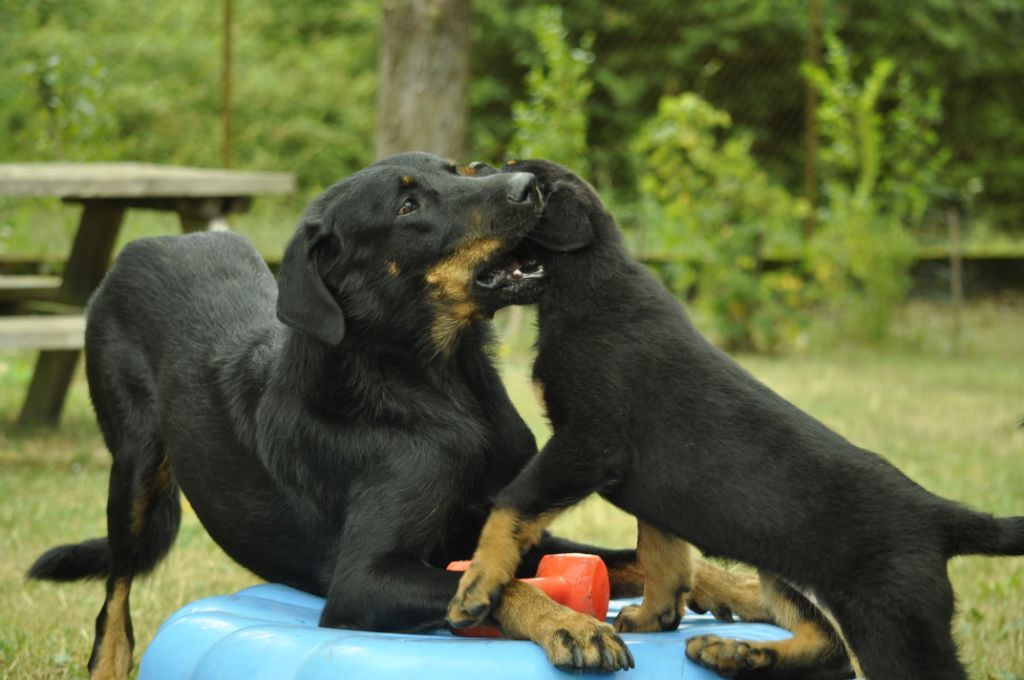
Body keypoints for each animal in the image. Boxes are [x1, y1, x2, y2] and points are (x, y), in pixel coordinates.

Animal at [448, 160, 1024, 680]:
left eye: (514, 171)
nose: (473, 164)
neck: (590, 283)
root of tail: (936, 514)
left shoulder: (587, 441)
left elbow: (511, 504)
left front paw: (476, 585)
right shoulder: (652, 487)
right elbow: (660, 550)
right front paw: (656, 616)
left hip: (895, 626)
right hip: (784, 572)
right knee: (827, 644)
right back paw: (738, 653)